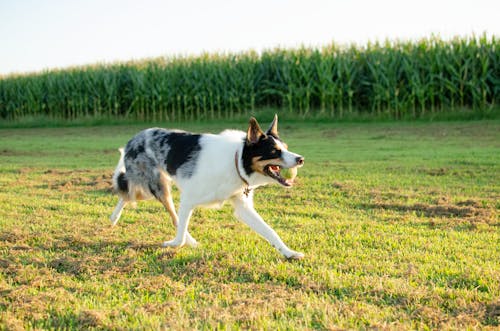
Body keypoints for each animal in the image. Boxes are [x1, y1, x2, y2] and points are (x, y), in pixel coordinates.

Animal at [110, 115, 304, 260]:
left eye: (286, 148)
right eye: (274, 151)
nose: (300, 159)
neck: (235, 161)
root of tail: (133, 138)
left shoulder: (243, 207)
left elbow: (270, 231)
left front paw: (289, 253)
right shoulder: (188, 199)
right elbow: (179, 229)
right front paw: (175, 244)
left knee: (128, 194)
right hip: (156, 185)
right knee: (133, 194)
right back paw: (115, 217)